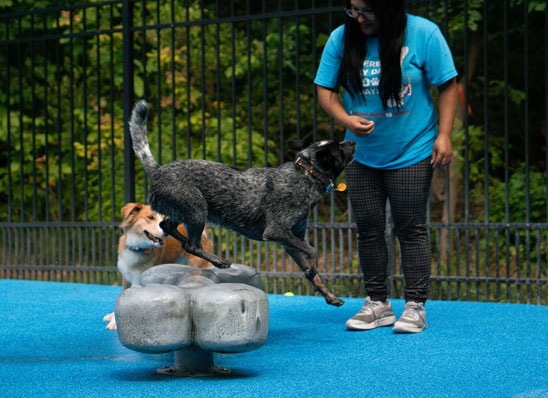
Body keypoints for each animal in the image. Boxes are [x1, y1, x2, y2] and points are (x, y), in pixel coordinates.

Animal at [103, 202, 212, 330]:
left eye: (163, 218)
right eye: (150, 217)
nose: (167, 231)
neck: (138, 249)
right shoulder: (126, 278)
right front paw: (114, 318)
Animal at [131, 99, 358, 304]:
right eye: (339, 148)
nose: (353, 141)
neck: (307, 175)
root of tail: (158, 170)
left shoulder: (293, 240)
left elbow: (314, 272)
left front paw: (328, 294)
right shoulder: (277, 232)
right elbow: (312, 251)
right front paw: (312, 269)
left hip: (185, 212)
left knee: (167, 226)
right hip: (197, 210)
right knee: (191, 245)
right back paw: (219, 261)